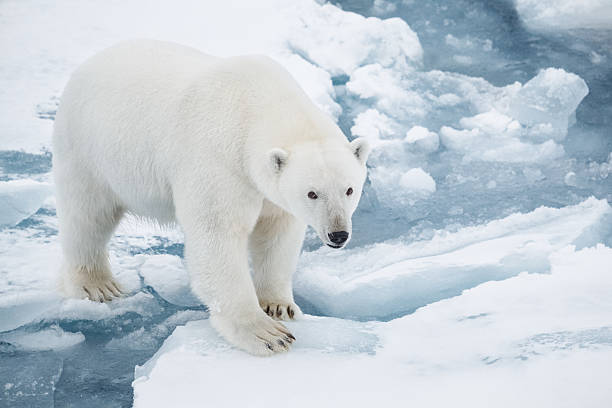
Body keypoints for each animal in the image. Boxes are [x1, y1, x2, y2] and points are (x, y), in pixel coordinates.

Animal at [52, 39, 370, 356]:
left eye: (349, 189)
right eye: (312, 193)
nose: (338, 234)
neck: (257, 105)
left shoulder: (267, 190)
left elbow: (277, 234)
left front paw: (279, 306)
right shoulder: (220, 160)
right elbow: (218, 236)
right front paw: (268, 334)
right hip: (89, 149)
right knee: (88, 216)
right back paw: (97, 284)